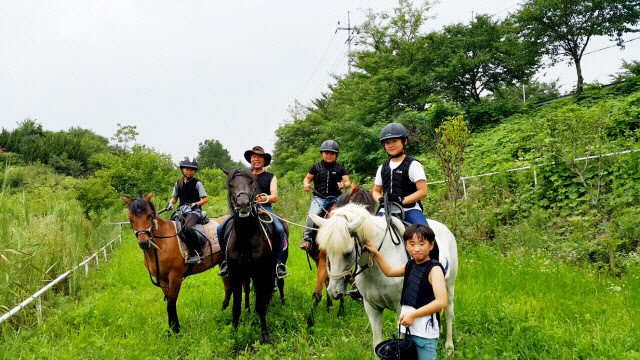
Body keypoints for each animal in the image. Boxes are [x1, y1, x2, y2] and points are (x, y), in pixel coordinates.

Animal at [122, 193, 248, 334]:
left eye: (149, 215)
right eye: (130, 218)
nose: (144, 242)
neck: (163, 243)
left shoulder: (175, 276)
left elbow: (171, 303)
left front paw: (176, 330)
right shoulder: (163, 280)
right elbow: (168, 302)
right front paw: (171, 329)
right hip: (223, 264)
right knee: (228, 287)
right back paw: (223, 310)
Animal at [304, 184, 376, 328]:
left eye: (370, 210)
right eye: (354, 205)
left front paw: (340, 312)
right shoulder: (323, 260)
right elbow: (317, 293)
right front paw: (310, 323)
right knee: (327, 282)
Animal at [312, 204, 458, 350]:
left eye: (348, 253)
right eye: (326, 251)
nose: (333, 292)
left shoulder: (401, 309)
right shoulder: (372, 308)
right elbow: (377, 342)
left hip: (449, 286)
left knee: (449, 312)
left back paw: (449, 346)